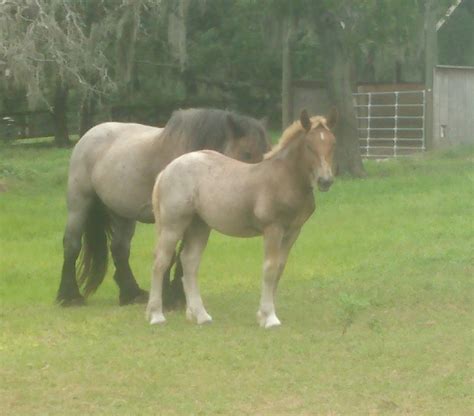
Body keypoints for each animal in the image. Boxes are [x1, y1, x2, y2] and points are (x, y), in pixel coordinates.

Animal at [56, 109, 270, 308]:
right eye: (247, 153)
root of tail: (89, 134)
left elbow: (184, 255)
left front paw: (178, 296)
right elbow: (170, 254)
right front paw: (168, 299)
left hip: (122, 212)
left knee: (119, 248)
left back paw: (131, 294)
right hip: (80, 203)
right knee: (72, 244)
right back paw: (69, 297)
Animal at [146, 109, 336, 330]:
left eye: (332, 143)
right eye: (309, 146)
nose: (325, 180)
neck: (284, 179)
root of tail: (166, 170)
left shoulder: (293, 231)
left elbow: (279, 268)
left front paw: (263, 314)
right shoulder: (273, 228)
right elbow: (270, 268)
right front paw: (270, 317)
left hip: (199, 225)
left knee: (189, 261)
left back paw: (202, 315)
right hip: (173, 224)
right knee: (161, 261)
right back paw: (156, 315)